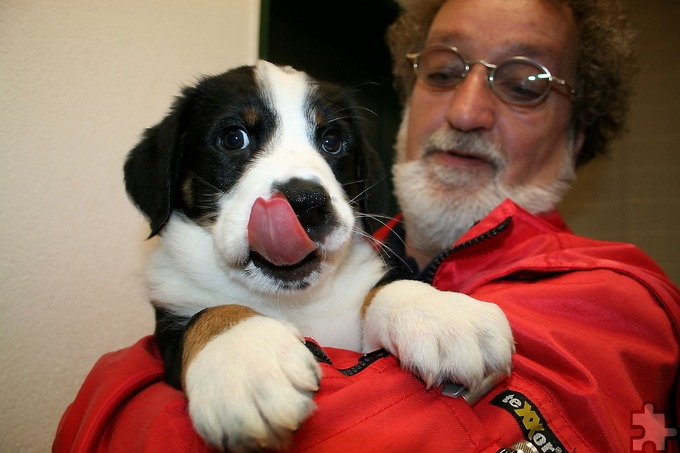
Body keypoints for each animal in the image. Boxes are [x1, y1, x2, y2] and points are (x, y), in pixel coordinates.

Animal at [125, 61, 512, 452]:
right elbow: (211, 312)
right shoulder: (170, 318)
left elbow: (387, 285)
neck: (295, 302)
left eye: (332, 141)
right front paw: (245, 357)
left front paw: (439, 313)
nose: (305, 202)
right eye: (234, 138)